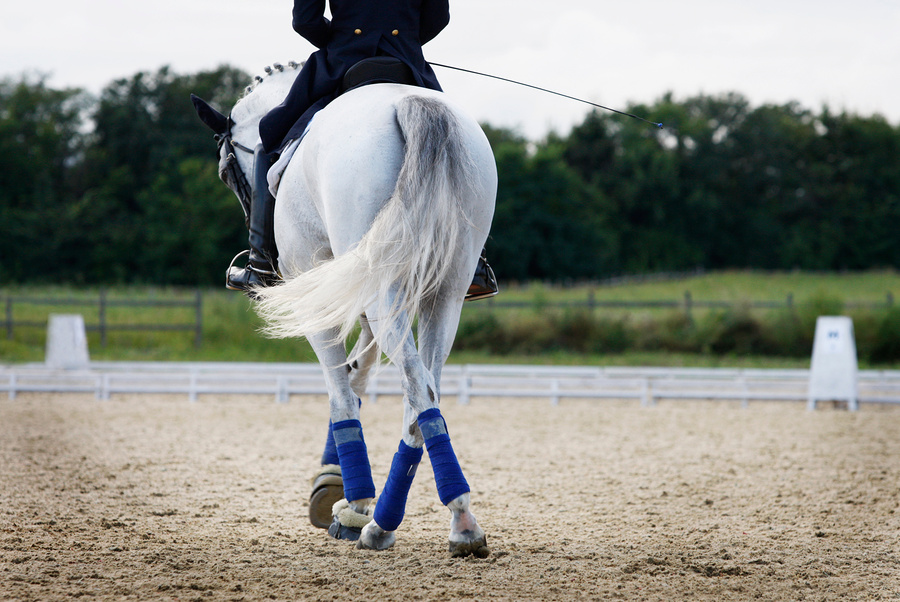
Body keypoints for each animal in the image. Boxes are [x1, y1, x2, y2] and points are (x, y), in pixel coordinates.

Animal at [192, 63, 496, 556]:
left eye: (225, 173)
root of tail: (410, 104)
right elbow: (360, 371)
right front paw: (339, 488)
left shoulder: (321, 296)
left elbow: (340, 392)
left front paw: (348, 500)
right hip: (444, 294)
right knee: (423, 393)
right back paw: (404, 523)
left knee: (417, 387)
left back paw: (440, 522)